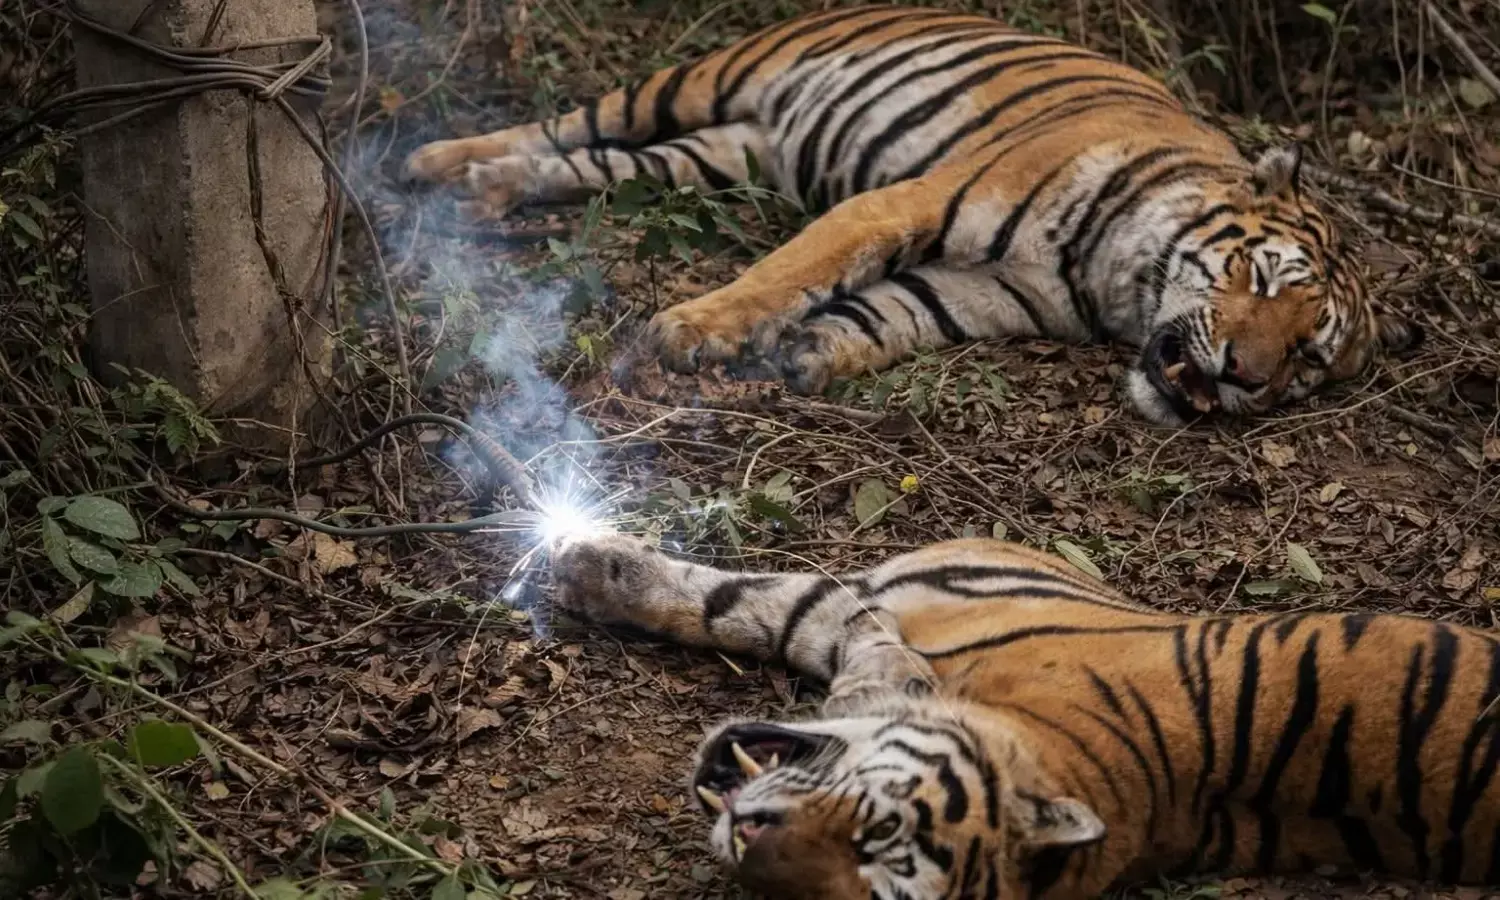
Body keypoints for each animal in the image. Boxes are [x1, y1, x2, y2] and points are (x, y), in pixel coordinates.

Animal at [401, 5, 1422, 426]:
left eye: (1309, 357)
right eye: (1262, 279)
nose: (1245, 375)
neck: (1116, 286)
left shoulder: (995, 293)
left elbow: (893, 314)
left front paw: (810, 355)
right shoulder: (909, 199)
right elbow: (797, 270)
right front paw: (694, 331)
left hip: (714, 156)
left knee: (584, 162)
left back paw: (486, 190)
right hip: (696, 82)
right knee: (567, 120)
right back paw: (434, 161)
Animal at [547, 528, 1500, 900]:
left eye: (862, 877)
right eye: (873, 822)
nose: (749, 842)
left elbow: (780, 607)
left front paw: (583, 566)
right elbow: (747, 605)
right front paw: (585, 567)